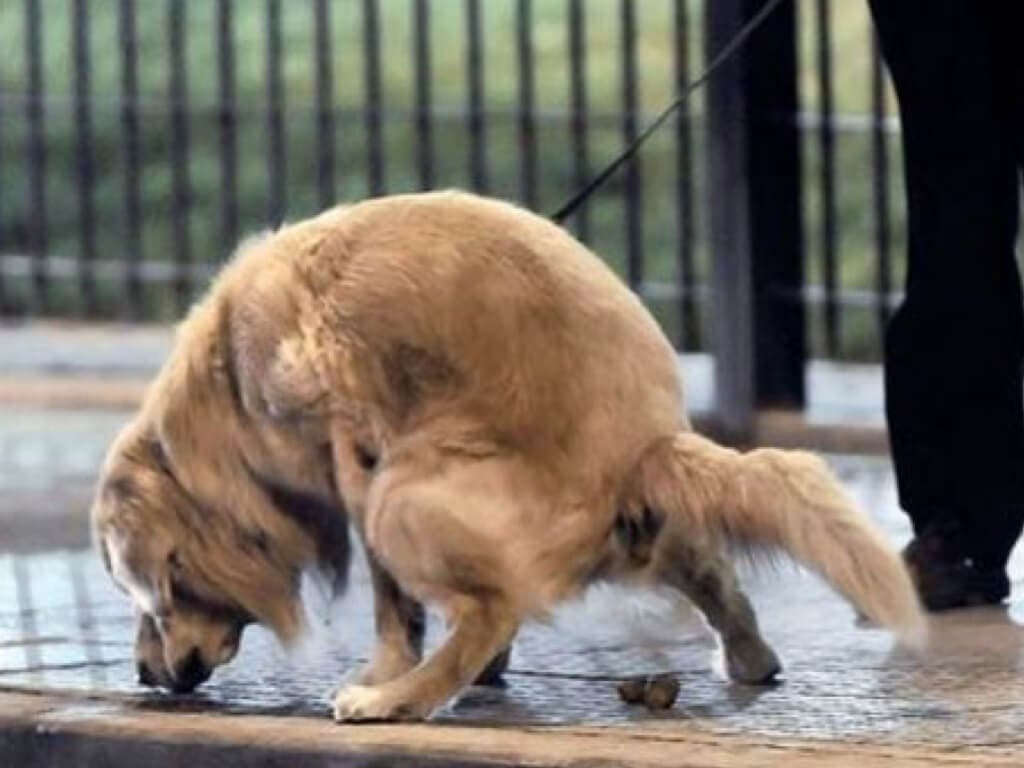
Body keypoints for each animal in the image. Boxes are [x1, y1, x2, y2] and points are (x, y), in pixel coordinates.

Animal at [92, 192, 925, 720]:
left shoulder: (353, 453)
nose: (145, 675)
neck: (229, 387)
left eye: (152, 595)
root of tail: (641, 449)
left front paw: (389, 672)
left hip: (401, 488)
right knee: (704, 571)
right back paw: (751, 657)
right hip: (640, 524)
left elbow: (395, 607)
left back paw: (397, 702)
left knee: (489, 610)